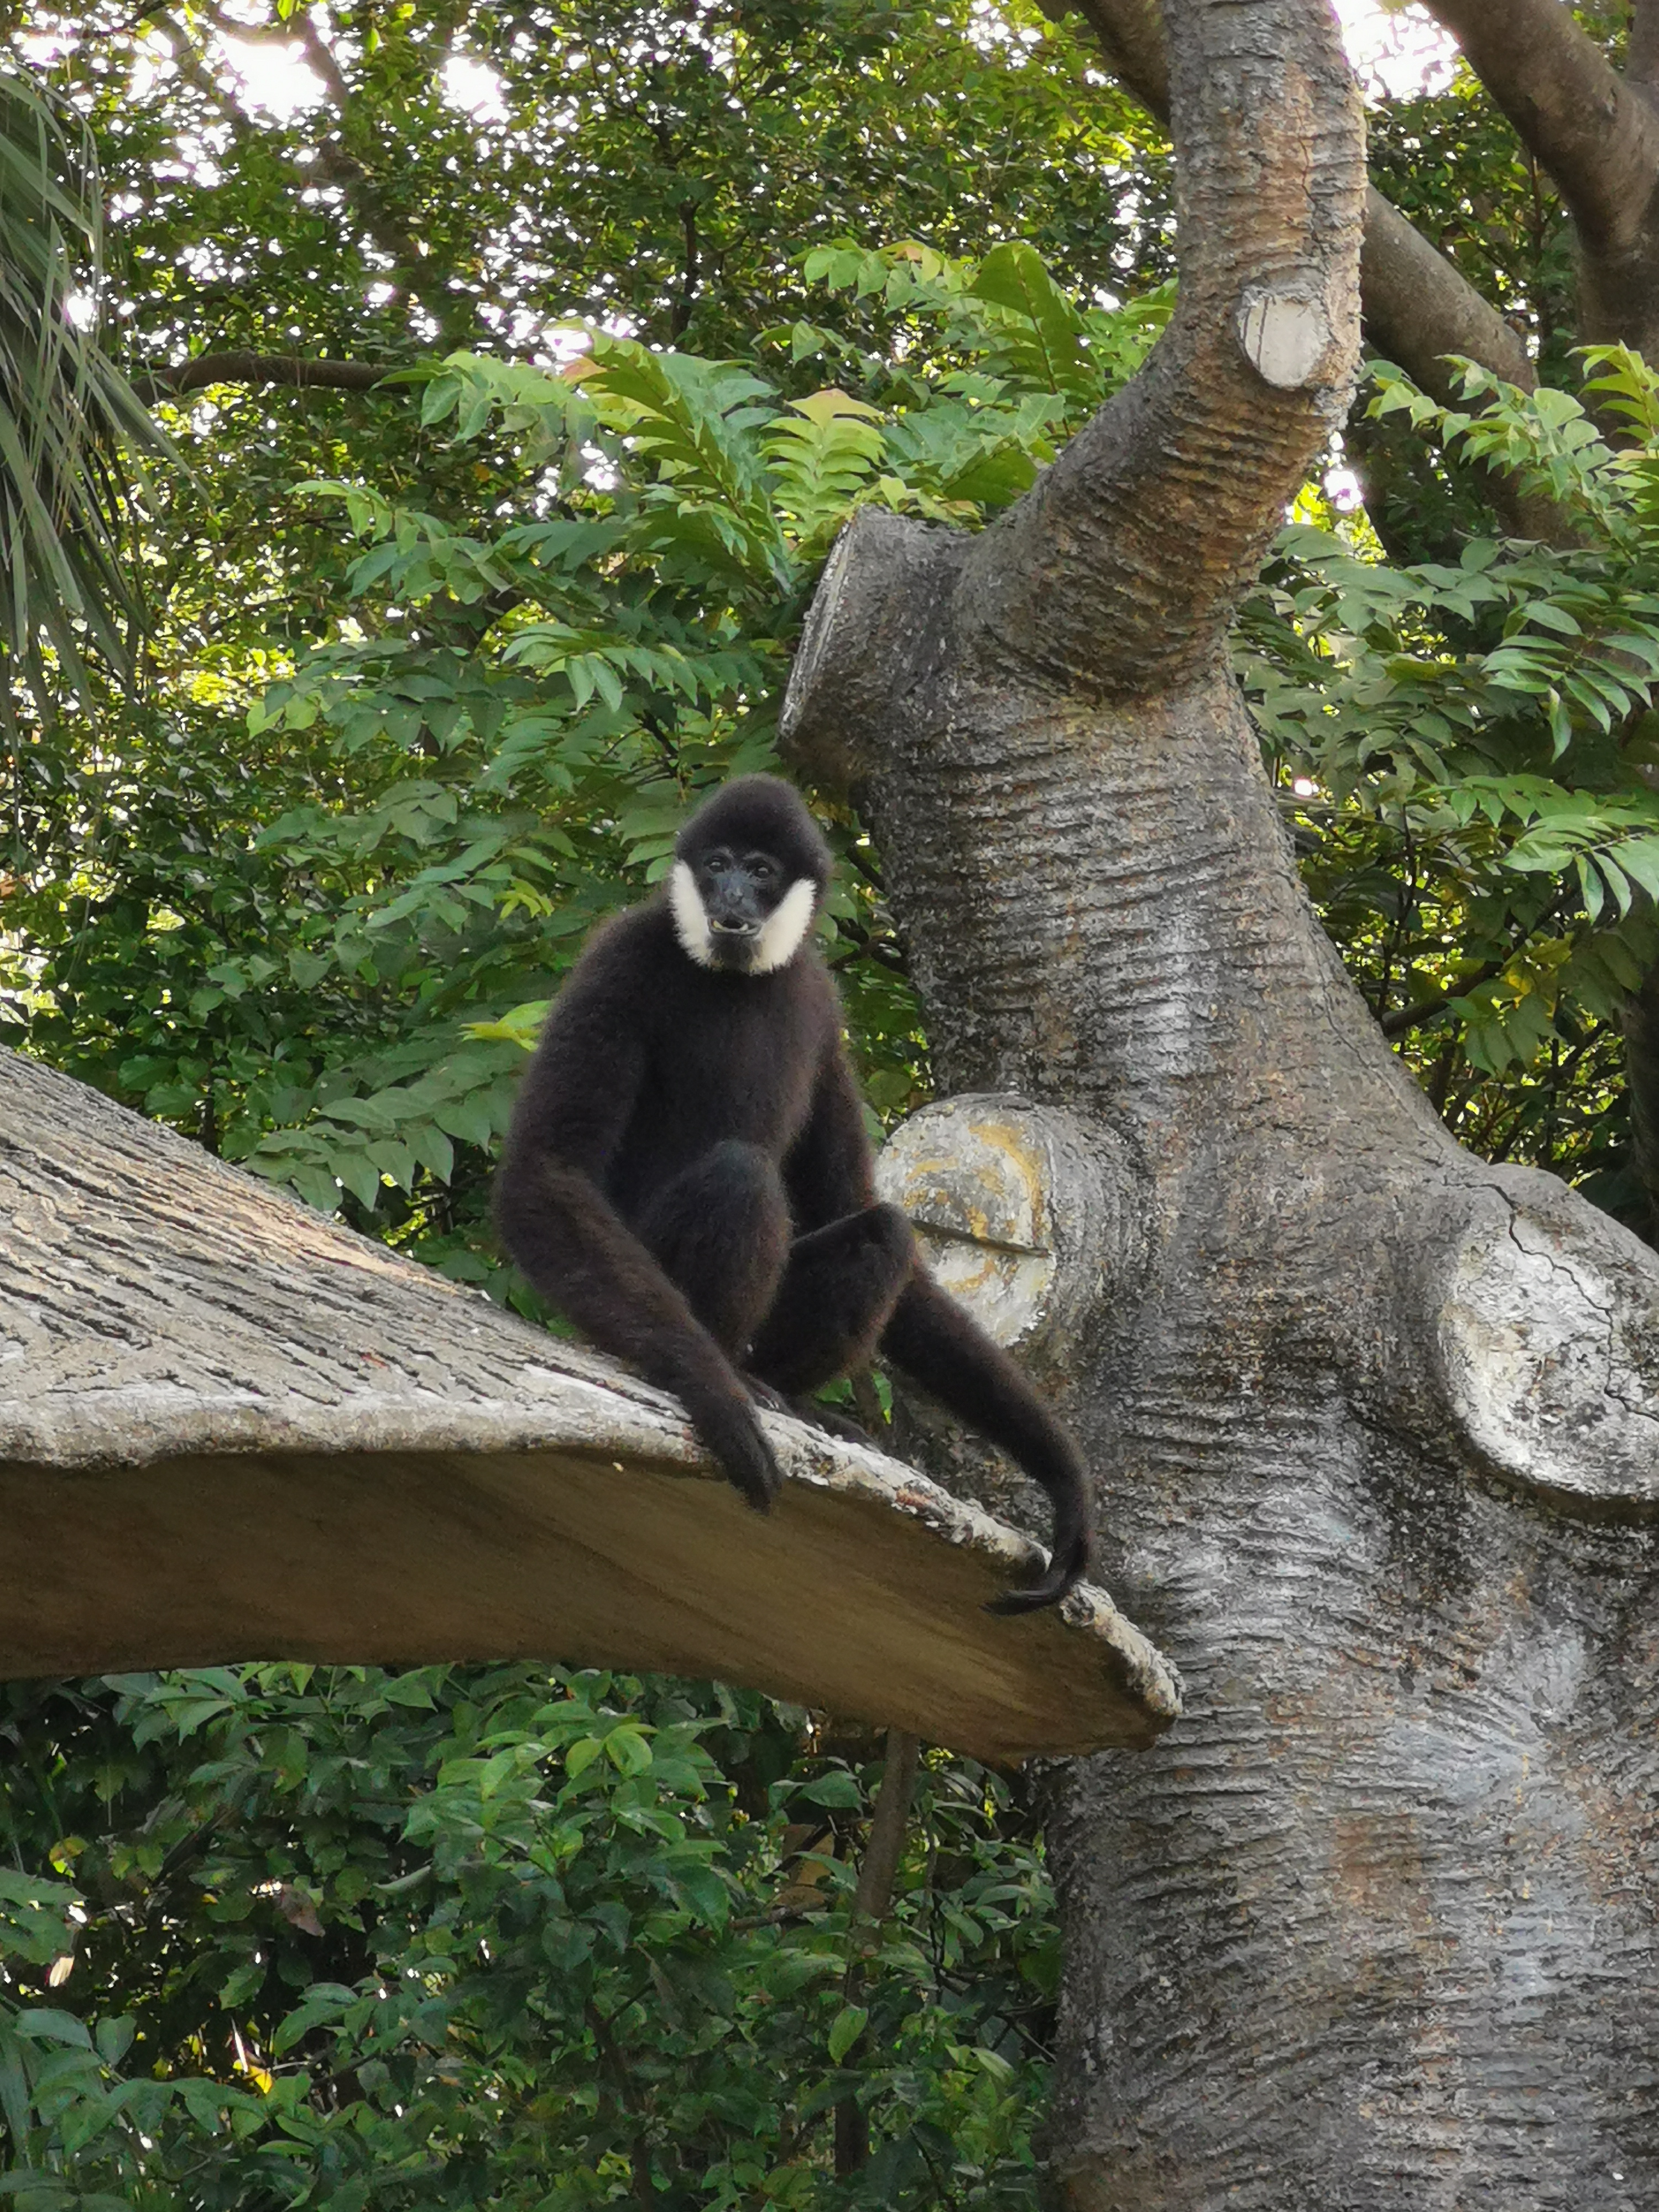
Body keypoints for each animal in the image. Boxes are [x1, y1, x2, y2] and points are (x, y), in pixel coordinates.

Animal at [493, 774, 1092, 1613]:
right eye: (716, 864)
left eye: (760, 870)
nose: (733, 893)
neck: (734, 975)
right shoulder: (619, 960)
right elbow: (547, 1170)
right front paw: (711, 1392)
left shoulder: (822, 1007)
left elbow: (853, 1207)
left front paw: (1063, 1481)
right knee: (739, 1174)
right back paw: (735, 1374)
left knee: (882, 1233)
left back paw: (788, 1391)